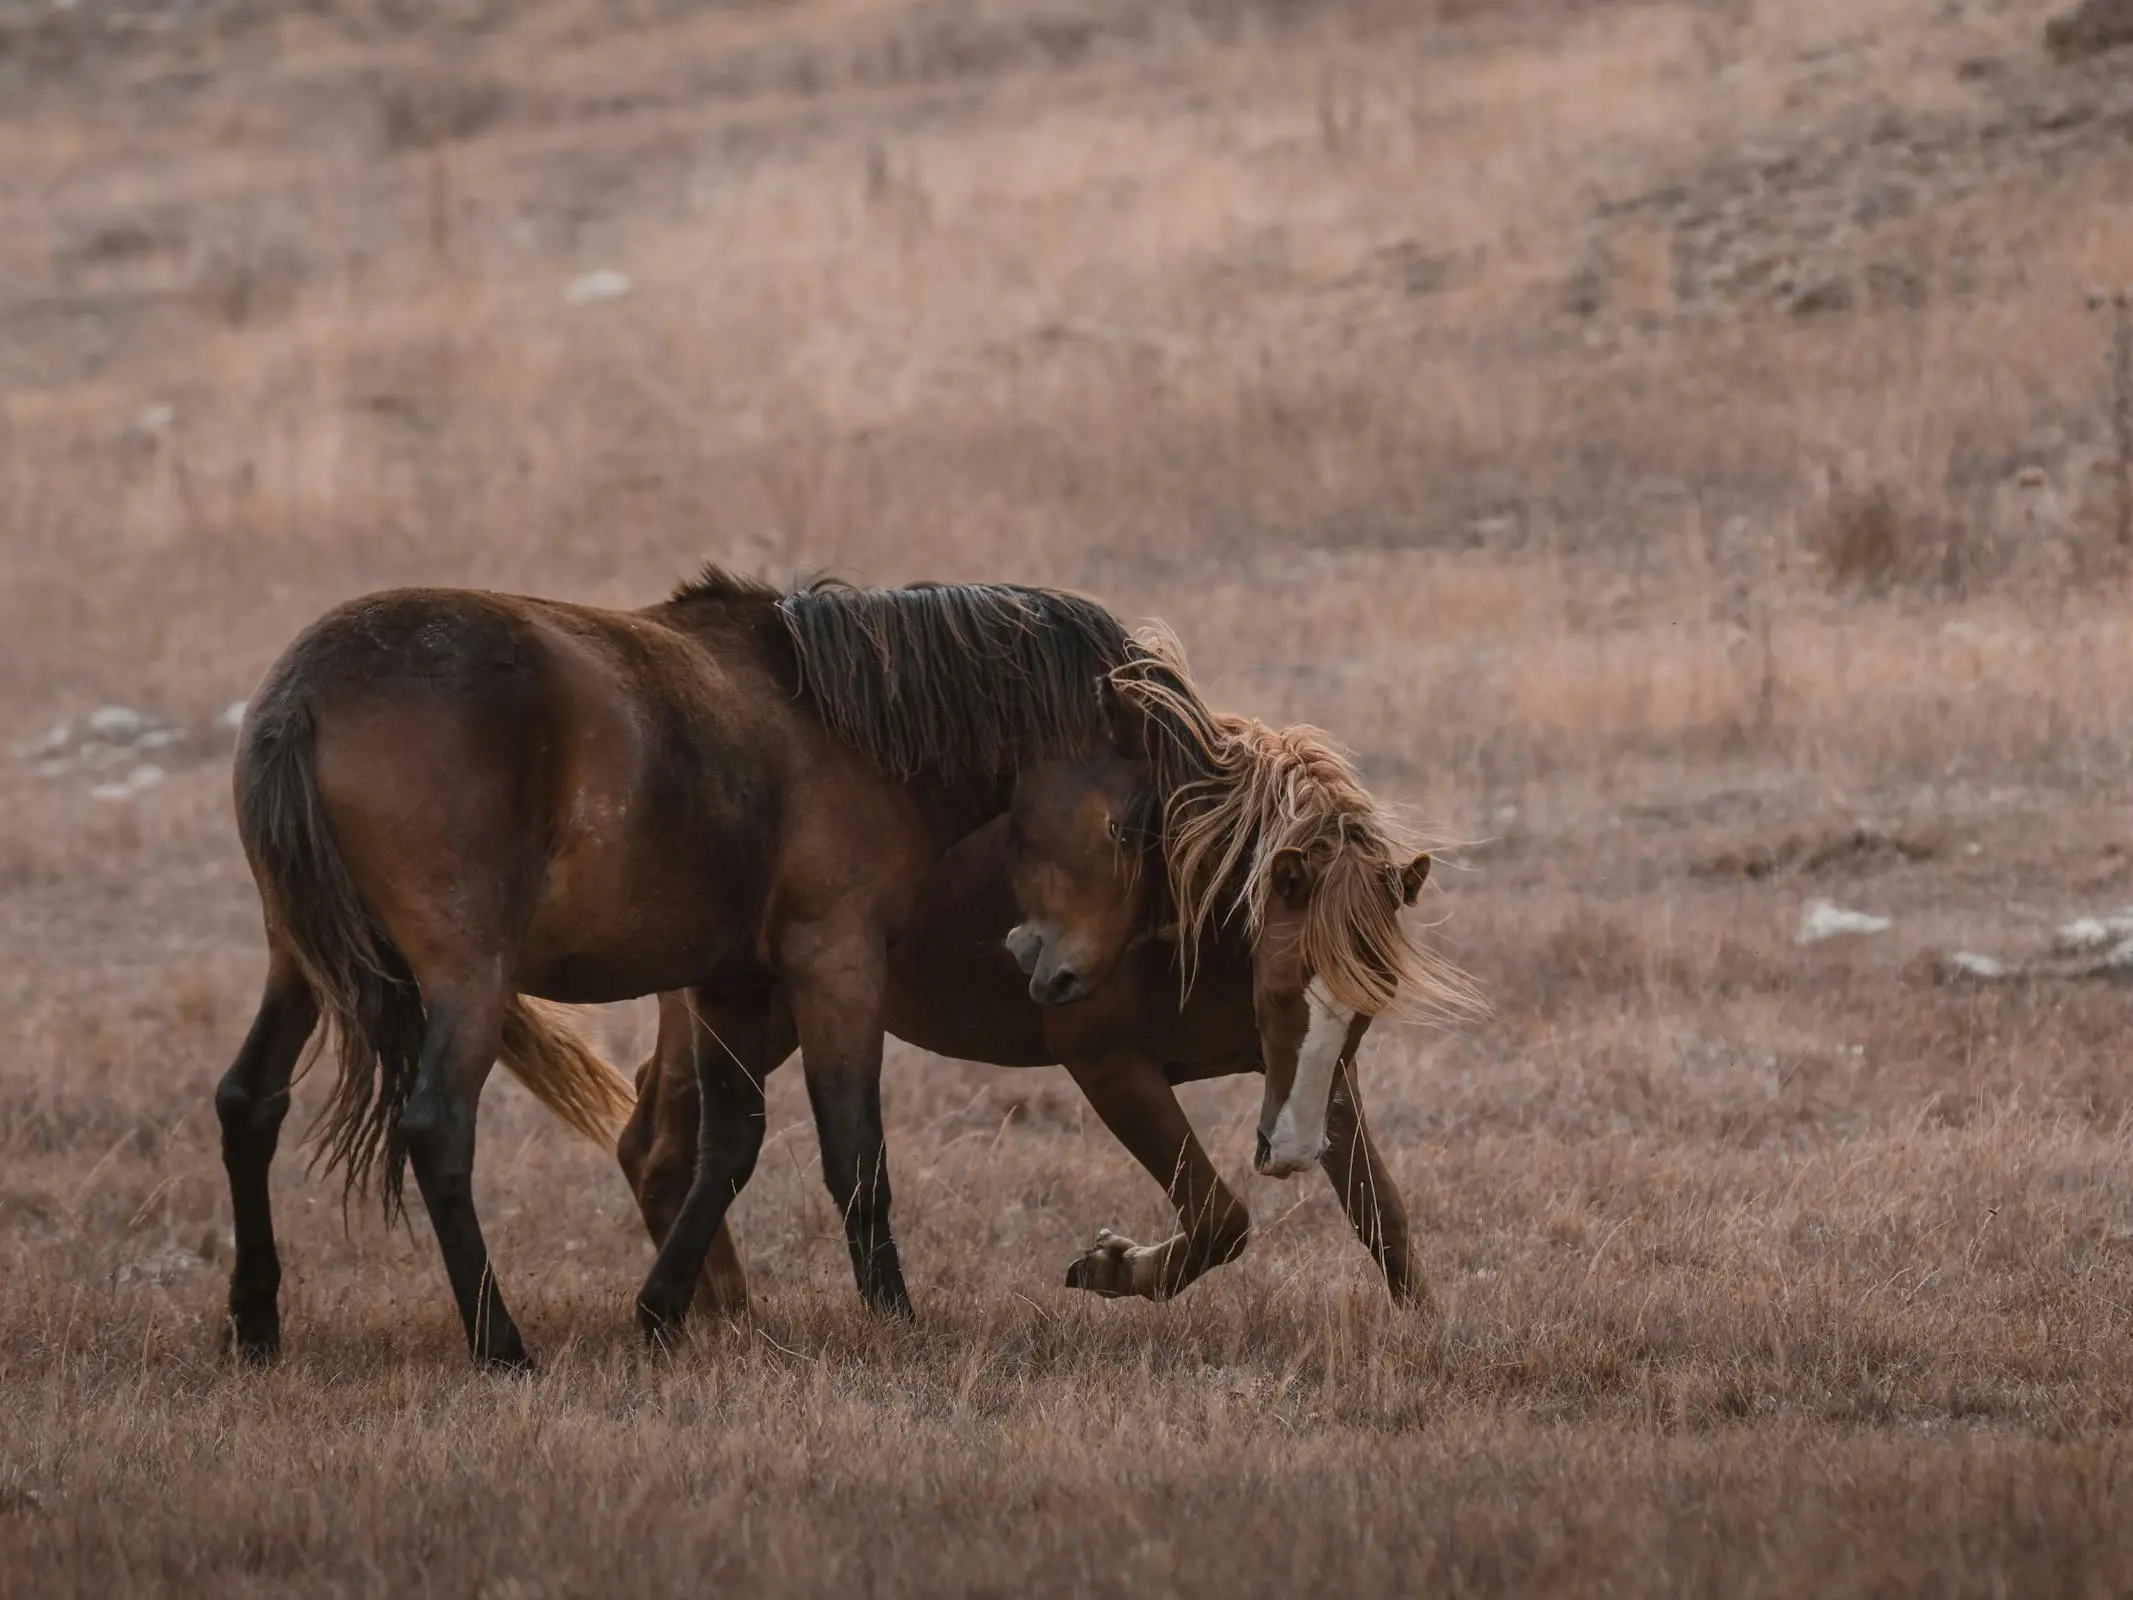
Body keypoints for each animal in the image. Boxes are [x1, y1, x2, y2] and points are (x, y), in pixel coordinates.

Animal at [218, 571, 1185, 1373]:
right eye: (1128, 821)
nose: (1060, 975)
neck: (846, 728)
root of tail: (307, 695)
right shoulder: (837, 967)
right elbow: (855, 1156)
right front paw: (894, 1320)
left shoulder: (731, 987)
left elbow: (726, 1147)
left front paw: (660, 1310)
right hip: (468, 976)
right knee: (437, 1129)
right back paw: (499, 1344)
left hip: (297, 965)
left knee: (248, 1101)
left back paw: (256, 1323)